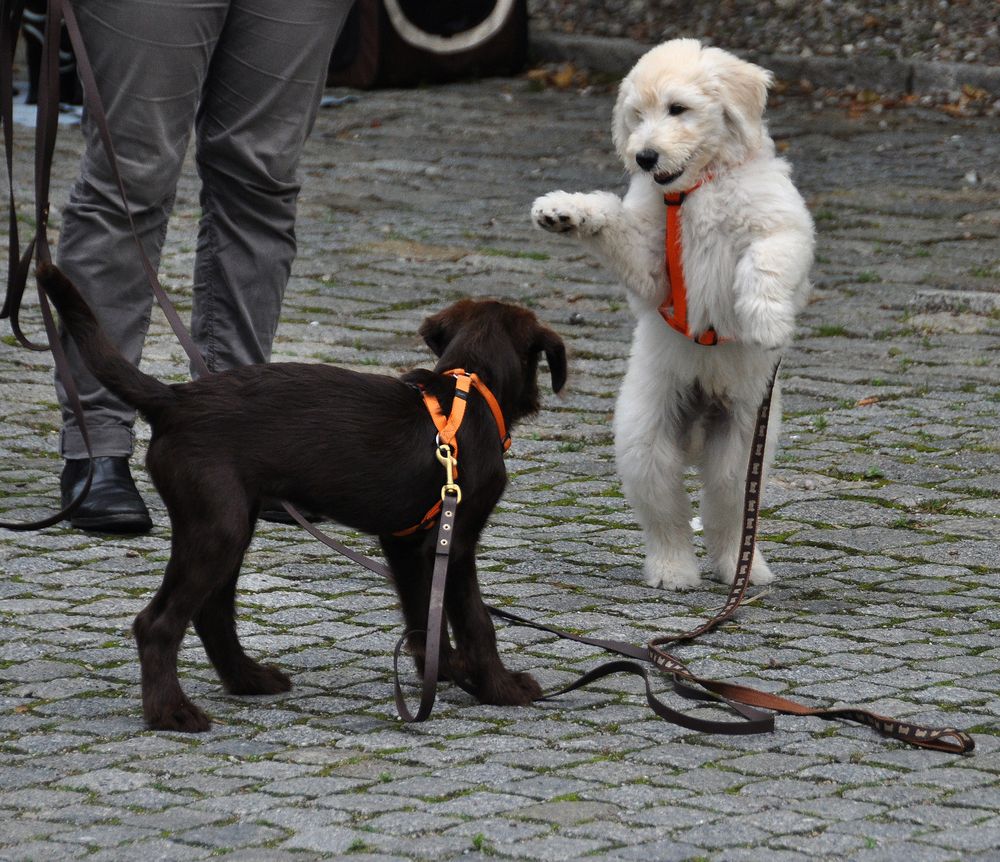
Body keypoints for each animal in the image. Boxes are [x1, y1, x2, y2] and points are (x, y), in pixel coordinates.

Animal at [39, 262, 568, 728]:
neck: (470, 392)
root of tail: (174, 399)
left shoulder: (406, 544)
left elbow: (425, 618)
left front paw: (445, 673)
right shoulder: (454, 540)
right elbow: (477, 620)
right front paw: (499, 687)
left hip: (231, 522)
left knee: (212, 611)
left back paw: (248, 679)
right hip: (219, 526)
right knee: (159, 622)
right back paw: (171, 713)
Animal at [532, 42, 812, 592]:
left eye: (678, 109)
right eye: (637, 117)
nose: (644, 157)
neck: (698, 186)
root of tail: (700, 420)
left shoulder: (782, 227)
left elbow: (764, 264)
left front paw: (766, 324)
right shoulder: (652, 264)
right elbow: (613, 219)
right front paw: (567, 211)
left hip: (741, 447)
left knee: (729, 515)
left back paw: (744, 569)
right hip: (646, 440)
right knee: (669, 518)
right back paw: (674, 572)